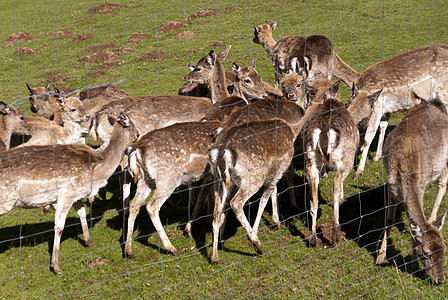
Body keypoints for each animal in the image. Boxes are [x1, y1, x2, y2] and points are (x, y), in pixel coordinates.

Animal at [0, 112, 138, 274]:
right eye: (134, 126)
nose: (138, 134)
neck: (96, 171)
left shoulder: (76, 194)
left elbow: (82, 213)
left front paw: (89, 242)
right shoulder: (66, 195)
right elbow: (59, 227)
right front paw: (55, 266)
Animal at [350, 43, 448, 179]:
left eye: (364, 108)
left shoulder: (377, 108)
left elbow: (368, 138)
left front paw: (358, 171)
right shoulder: (385, 110)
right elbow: (383, 128)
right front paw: (377, 157)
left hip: (444, 92)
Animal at [376, 99, 446, 284]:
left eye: (444, 250)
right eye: (427, 253)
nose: (440, 280)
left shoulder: (420, 187)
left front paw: (414, 265)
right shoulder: (391, 187)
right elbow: (389, 219)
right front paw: (380, 257)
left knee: (443, 183)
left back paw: (432, 217)